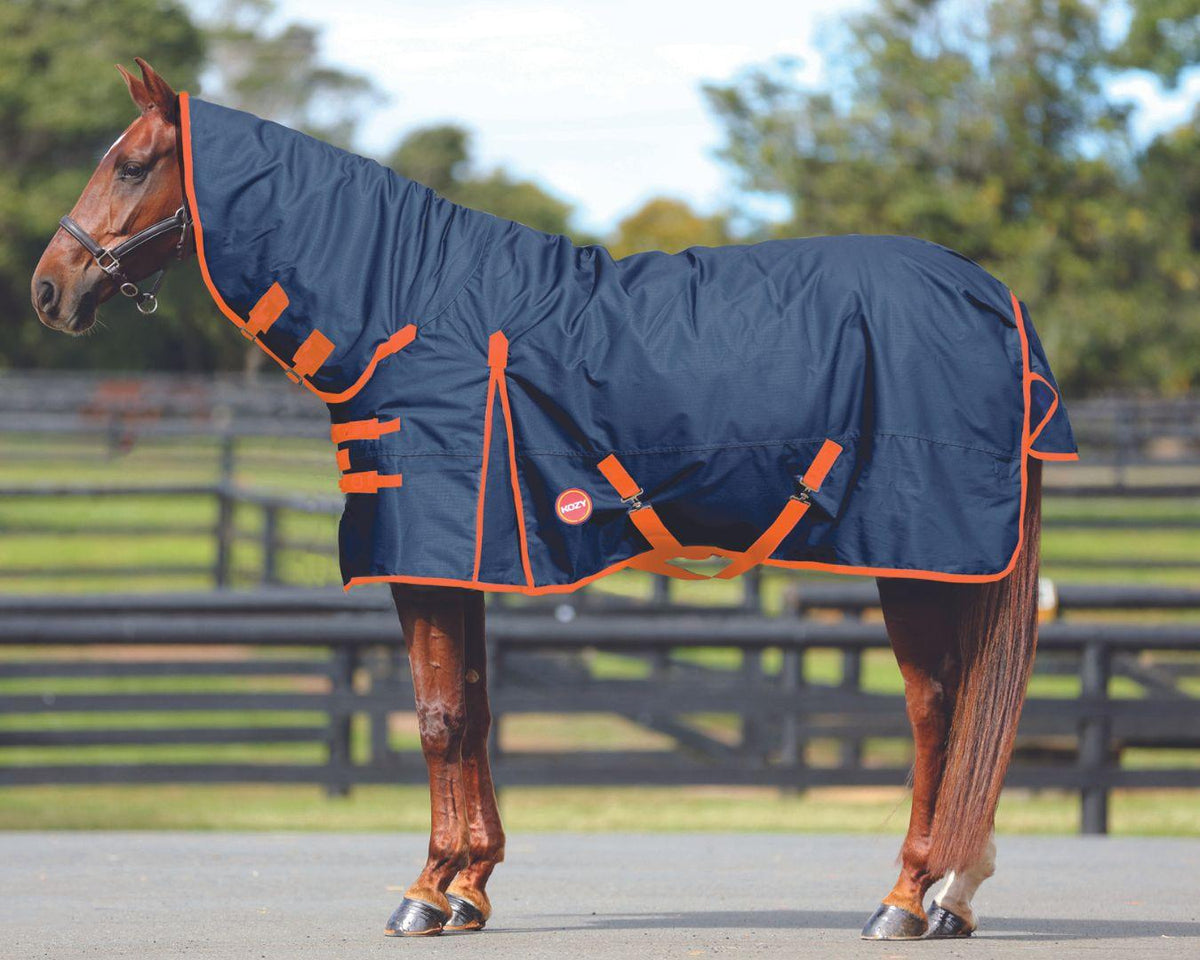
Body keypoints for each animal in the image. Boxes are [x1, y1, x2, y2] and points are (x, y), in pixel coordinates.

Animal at [32, 59, 1073, 941]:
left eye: (130, 164)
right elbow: (475, 708)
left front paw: (424, 892)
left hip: (915, 564)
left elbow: (437, 717)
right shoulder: (466, 561)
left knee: (937, 711)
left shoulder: (427, 558)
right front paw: (468, 886)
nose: (49, 288)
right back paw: (952, 896)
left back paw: (907, 896)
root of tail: (999, 301)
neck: (410, 306)